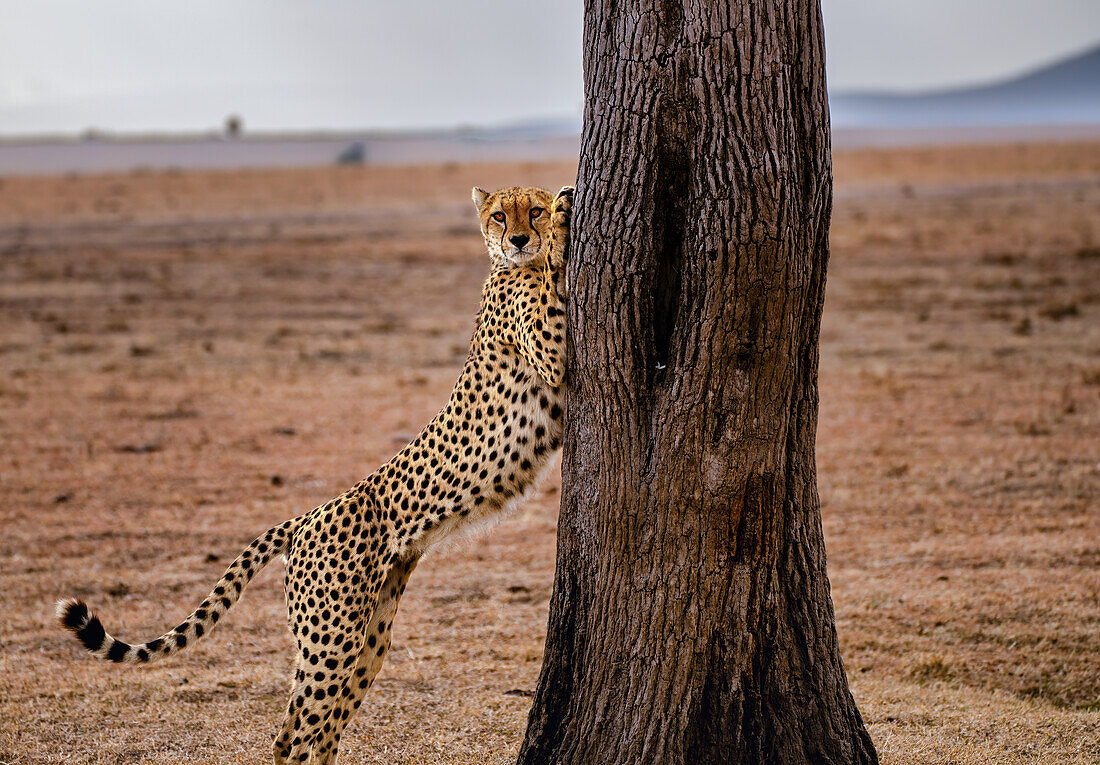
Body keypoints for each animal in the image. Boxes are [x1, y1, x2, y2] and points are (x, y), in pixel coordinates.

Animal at [59, 182, 576, 761]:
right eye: (499, 215)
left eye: (528, 210)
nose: (519, 238)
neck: (507, 269)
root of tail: (305, 518)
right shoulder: (550, 353)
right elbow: (553, 287)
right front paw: (563, 221)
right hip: (331, 639)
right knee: (296, 733)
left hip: (368, 636)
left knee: (312, 730)